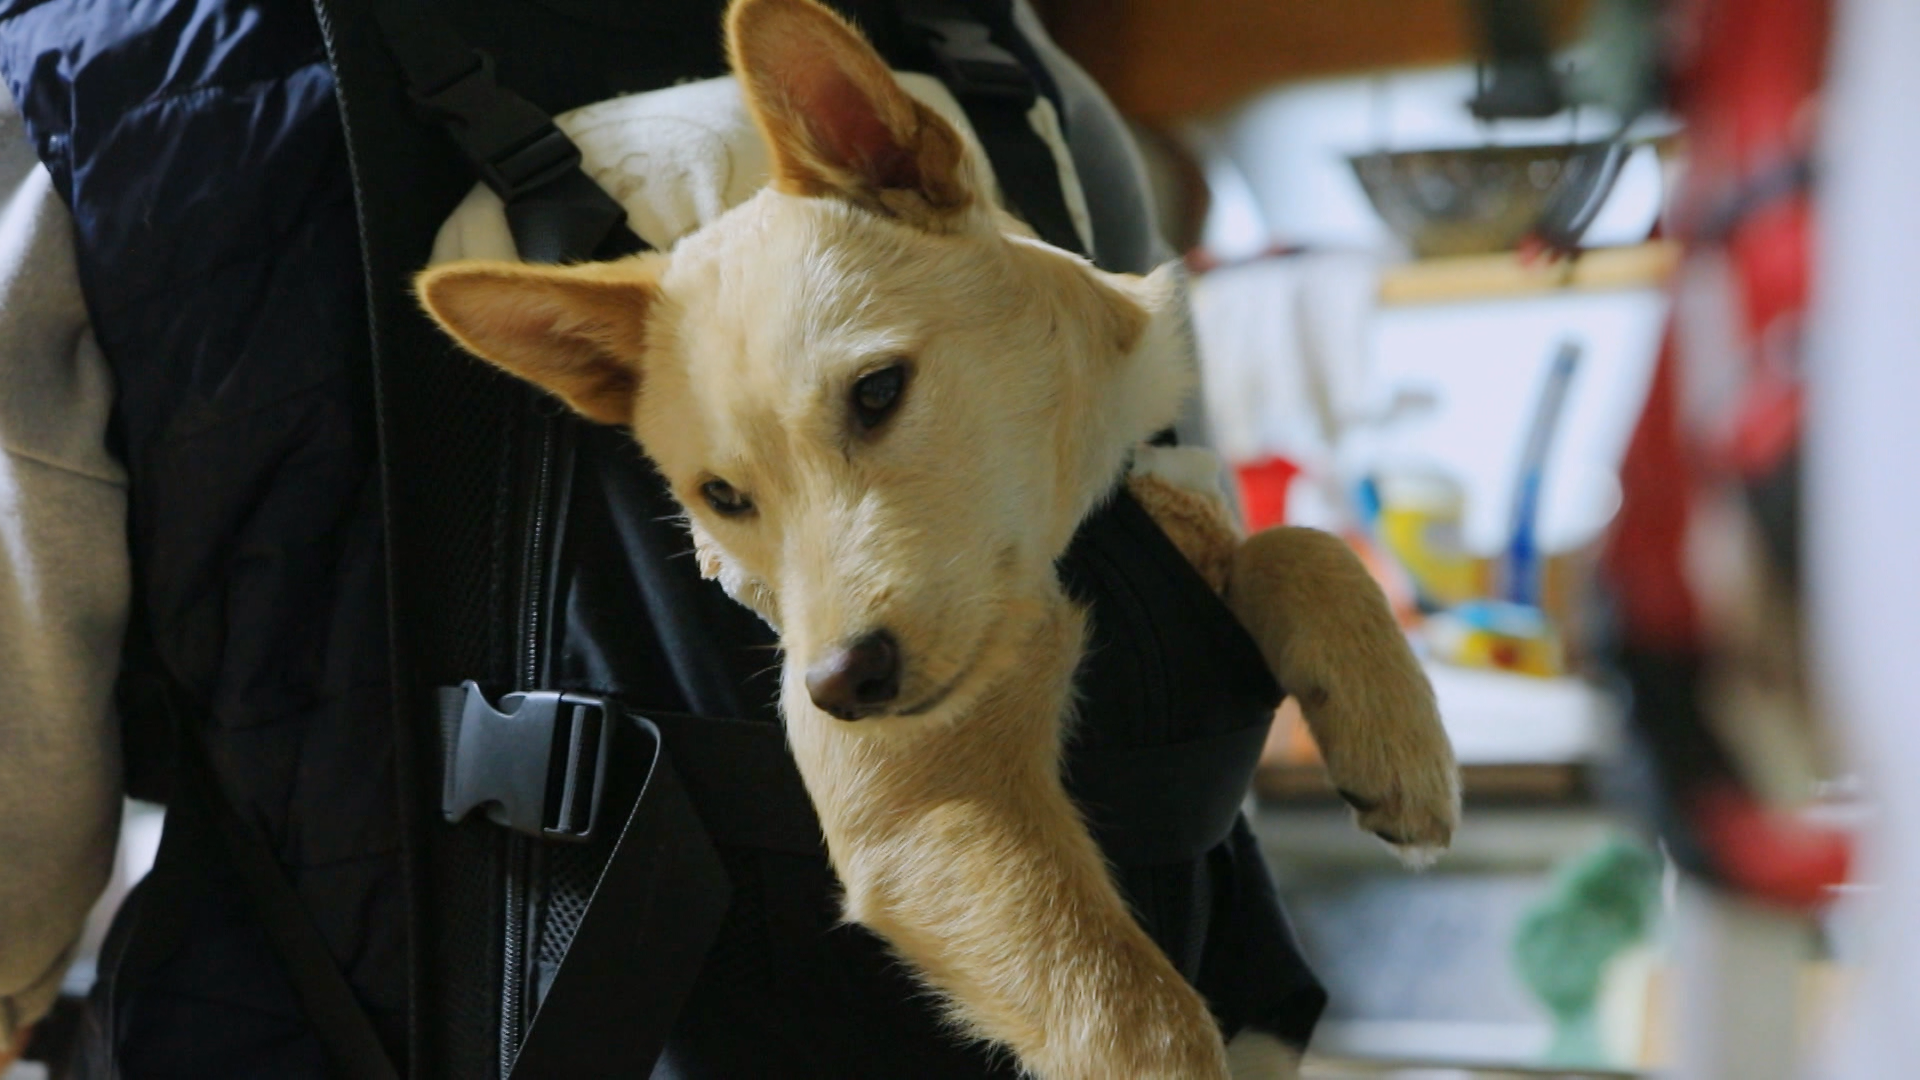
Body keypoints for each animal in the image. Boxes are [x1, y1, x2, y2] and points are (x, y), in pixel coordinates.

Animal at [417, 0, 1459, 1075]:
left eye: (878, 392)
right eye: (722, 497)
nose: (839, 689)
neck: (1065, 543)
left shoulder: (1176, 506)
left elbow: (1296, 543)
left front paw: (1395, 738)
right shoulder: (924, 811)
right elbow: (1136, 1014)